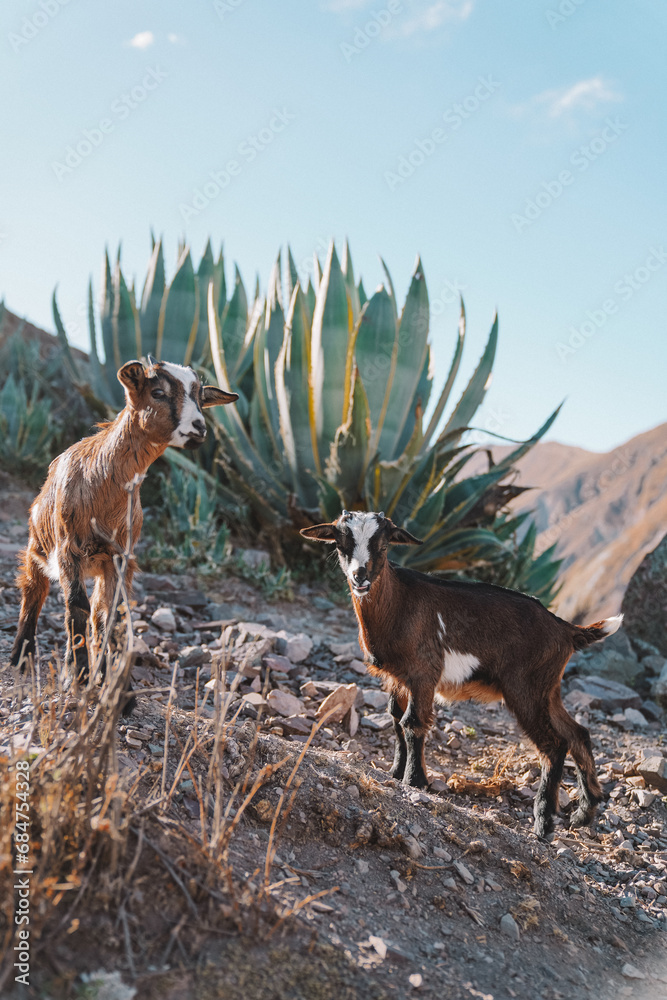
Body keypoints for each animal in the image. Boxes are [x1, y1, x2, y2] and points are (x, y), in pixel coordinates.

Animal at [10, 356, 237, 711]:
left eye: (201, 399)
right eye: (158, 392)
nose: (199, 428)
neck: (101, 481)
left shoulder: (120, 557)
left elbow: (112, 616)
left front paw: (117, 689)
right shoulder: (69, 550)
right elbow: (76, 606)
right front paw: (81, 677)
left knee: (98, 613)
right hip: (39, 547)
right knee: (34, 590)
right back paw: (22, 657)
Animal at [301, 510, 623, 838]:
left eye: (383, 545)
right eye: (341, 544)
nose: (360, 576)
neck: (400, 603)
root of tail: (564, 629)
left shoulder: (424, 673)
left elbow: (413, 723)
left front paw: (414, 781)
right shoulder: (397, 678)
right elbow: (395, 718)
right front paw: (395, 772)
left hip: (525, 689)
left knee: (554, 745)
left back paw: (543, 823)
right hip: (548, 689)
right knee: (577, 733)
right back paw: (584, 813)